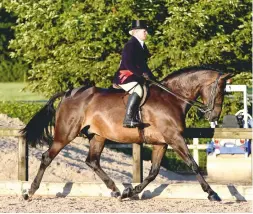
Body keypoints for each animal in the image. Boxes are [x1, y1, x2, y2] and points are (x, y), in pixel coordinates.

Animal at [20, 66, 232, 201]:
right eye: (220, 91)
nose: (213, 115)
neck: (171, 98)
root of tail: (68, 93)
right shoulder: (174, 138)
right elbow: (193, 164)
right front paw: (212, 193)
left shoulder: (161, 143)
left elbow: (153, 172)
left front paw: (131, 192)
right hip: (65, 134)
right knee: (47, 157)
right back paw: (30, 192)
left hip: (98, 136)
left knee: (92, 161)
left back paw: (115, 190)